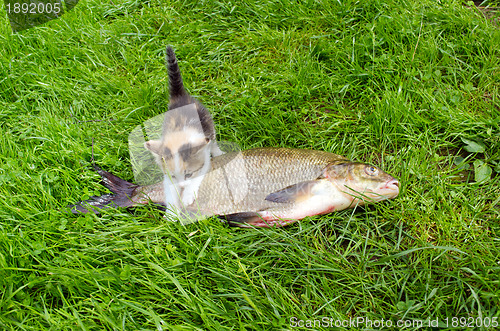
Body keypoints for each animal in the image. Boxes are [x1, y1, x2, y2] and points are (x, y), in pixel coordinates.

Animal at [145, 45, 223, 215]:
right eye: (174, 177)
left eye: (188, 174)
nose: (181, 186)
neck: (179, 136)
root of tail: (179, 96)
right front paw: (172, 214)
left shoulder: (203, 156)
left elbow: (199, 175)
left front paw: (187, 195)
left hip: (208, 122)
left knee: (213, 140)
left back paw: (218, 152)